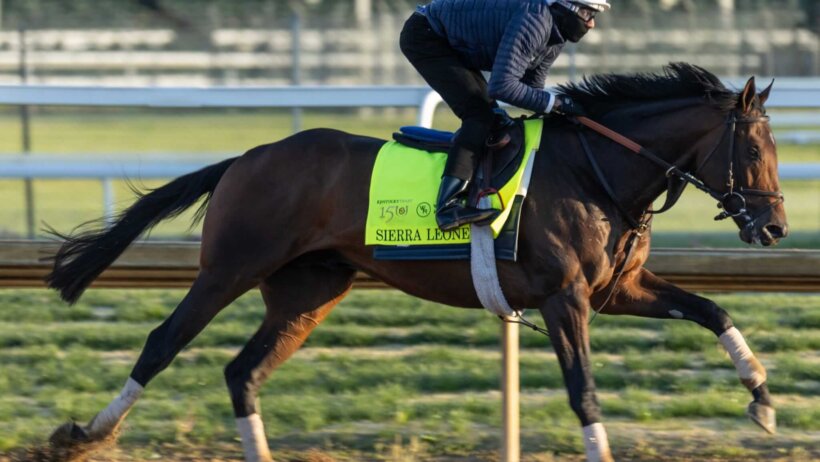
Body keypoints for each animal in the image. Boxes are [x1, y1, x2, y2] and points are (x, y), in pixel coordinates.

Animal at [46, 62, 788, 462]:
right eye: (753, 150)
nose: (776, 225)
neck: (596, 170)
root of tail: (248, 157)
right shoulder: (565, 297)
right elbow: (584, 390)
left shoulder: (618, 288)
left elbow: (712, 308)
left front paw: (761, 397)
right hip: (229, 267)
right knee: (162, 342)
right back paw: (85, 433)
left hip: (309, 292)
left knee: (242, 371)